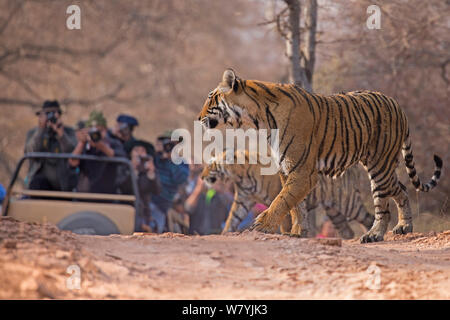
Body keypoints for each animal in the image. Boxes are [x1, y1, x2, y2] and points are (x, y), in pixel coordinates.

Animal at [200, 149, 372, 238]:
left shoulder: (276, 195)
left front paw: (285, 234)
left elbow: (282, 216)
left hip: (347, 203)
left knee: (368, 217)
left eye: (210, 166)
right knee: (346, 230)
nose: (201, 177)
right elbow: (232, 218)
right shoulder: (242, 200)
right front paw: (224, 233)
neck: (240, 177)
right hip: (333, 210)